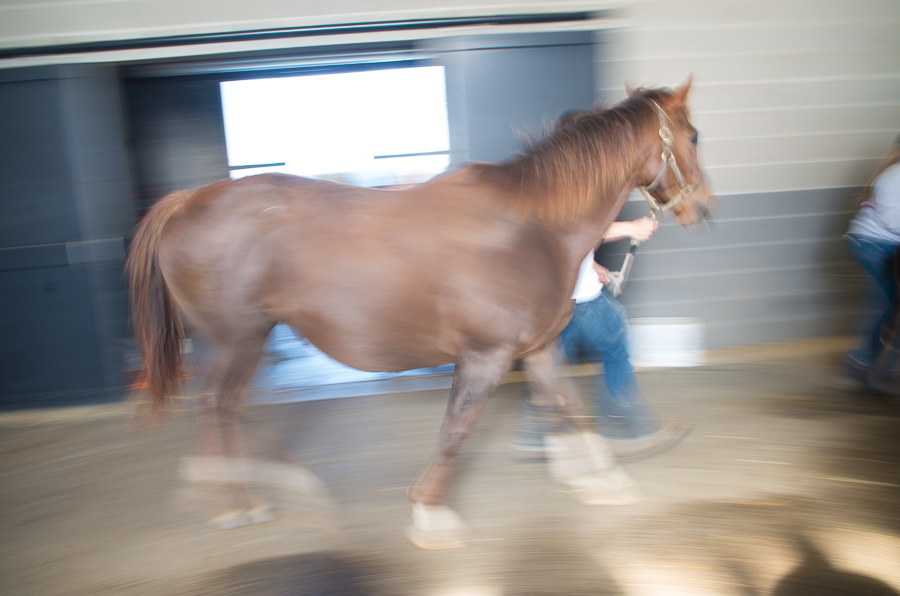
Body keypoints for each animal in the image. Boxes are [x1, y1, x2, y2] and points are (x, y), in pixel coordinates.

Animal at [128, 79, 716, 548]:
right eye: (692, 136)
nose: (704, 208)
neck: (530, 228)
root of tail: (187, 202)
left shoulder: (537, 347)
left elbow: (567, 408)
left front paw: (600, 481)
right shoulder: (485, 354)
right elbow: (457, 428)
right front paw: (431, 514)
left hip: (233, 342)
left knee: (223, 406)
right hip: (240, 339)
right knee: (218, 404)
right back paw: (241, 501)